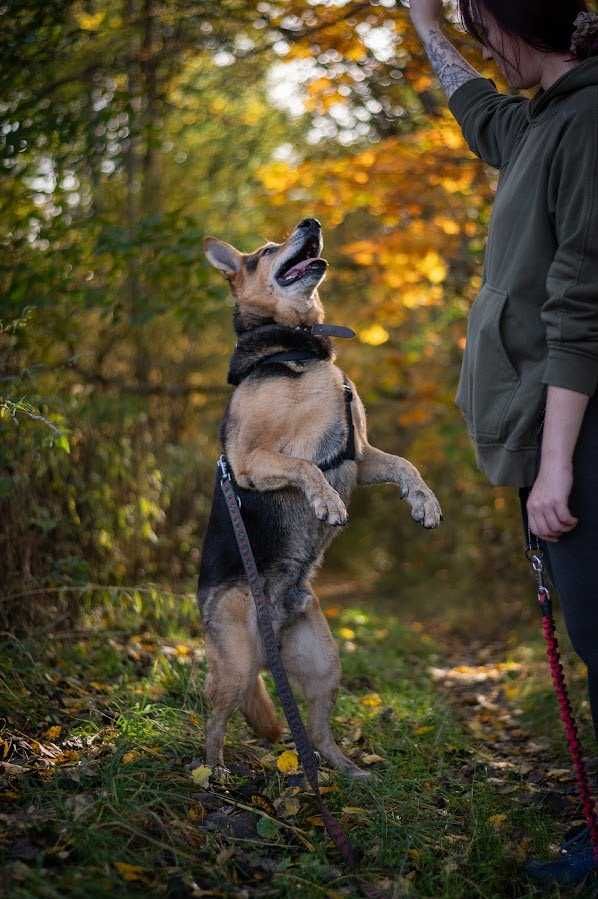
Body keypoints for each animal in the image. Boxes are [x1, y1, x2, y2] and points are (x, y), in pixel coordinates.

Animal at [199, 218, 442, 780]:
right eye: (267, 250)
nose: (310, 222)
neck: (299, 345)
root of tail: (272, 633)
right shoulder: (250, 459)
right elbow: (306, 466)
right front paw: (327, 503)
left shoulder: (361, 455)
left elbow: (405, 465)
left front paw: (424, 502)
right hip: (236, 665)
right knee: (214, 718)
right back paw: (213, 774)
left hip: (324, 663)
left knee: (317, 729)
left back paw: (348, 772)